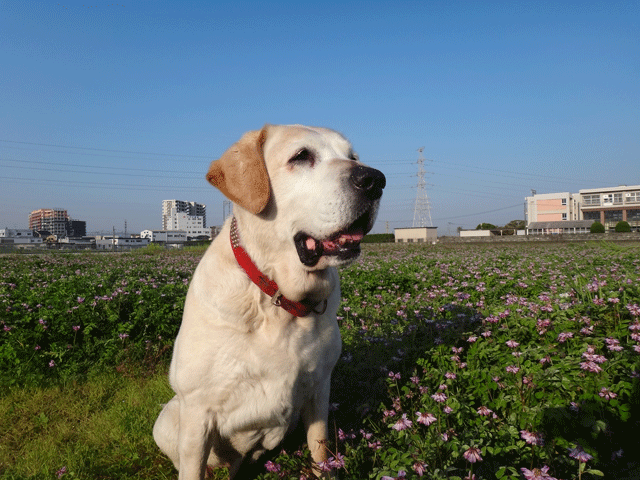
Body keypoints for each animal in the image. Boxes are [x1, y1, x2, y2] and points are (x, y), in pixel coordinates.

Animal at [154, 125, 384, 478]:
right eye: (301, 156)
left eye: (352, 157)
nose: (375, 180)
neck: (277, 298)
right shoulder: (197, 412)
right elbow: (191, 467)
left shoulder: (320, 388)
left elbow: (320, 448)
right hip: (168, 417)